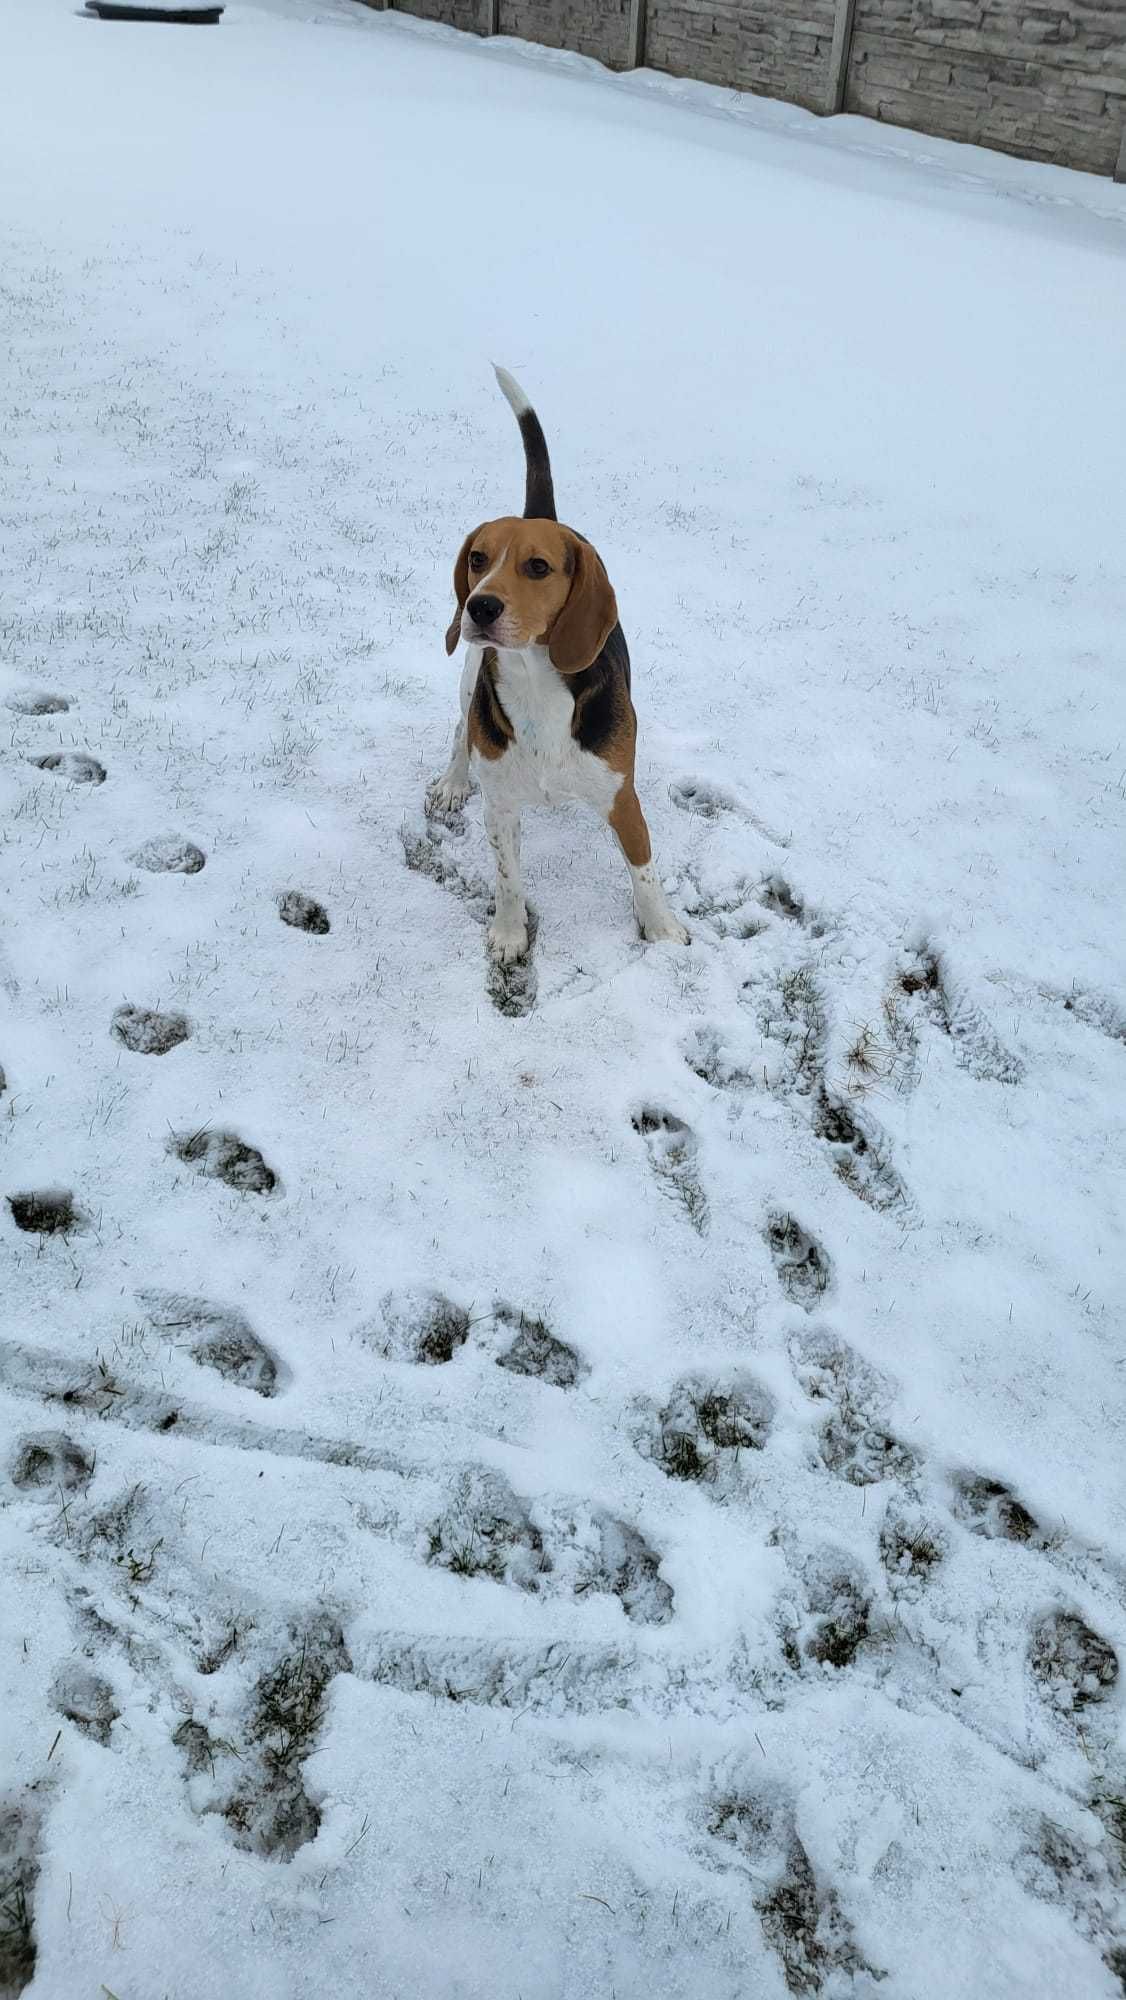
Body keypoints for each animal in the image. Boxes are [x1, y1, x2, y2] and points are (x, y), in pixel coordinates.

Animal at [430, 376, 688, 968]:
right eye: (477, 559)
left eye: (538, 567)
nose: (479, 607)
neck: (534, 687)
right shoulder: (501, 808)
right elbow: (508, 880)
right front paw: (509, 934)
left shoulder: (623, 800)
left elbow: (644, 872)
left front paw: (662, 930)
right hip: (468, 676)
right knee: (460, 727)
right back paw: (453, 780)